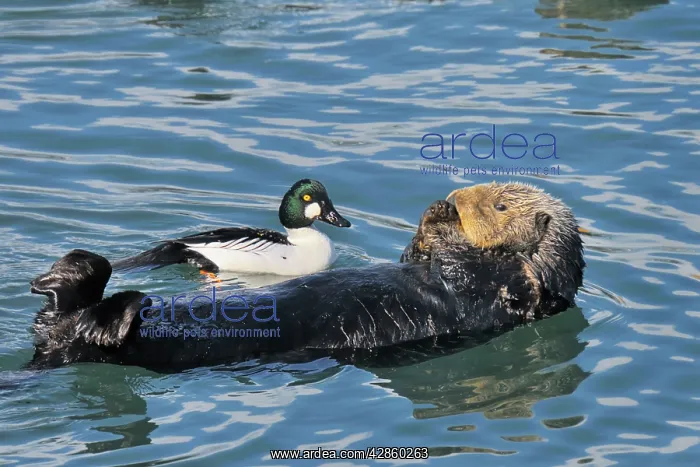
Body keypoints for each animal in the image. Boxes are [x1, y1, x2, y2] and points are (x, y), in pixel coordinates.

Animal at [26, 183, 585, 372]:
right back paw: (65, 275)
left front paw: (441, 220)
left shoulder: (503, 286)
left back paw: (114, 304)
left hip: (153, 346)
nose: (455, 197)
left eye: (500, 205)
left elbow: (467, 270)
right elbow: (414, 257)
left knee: (100, 331)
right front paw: (432, 218)